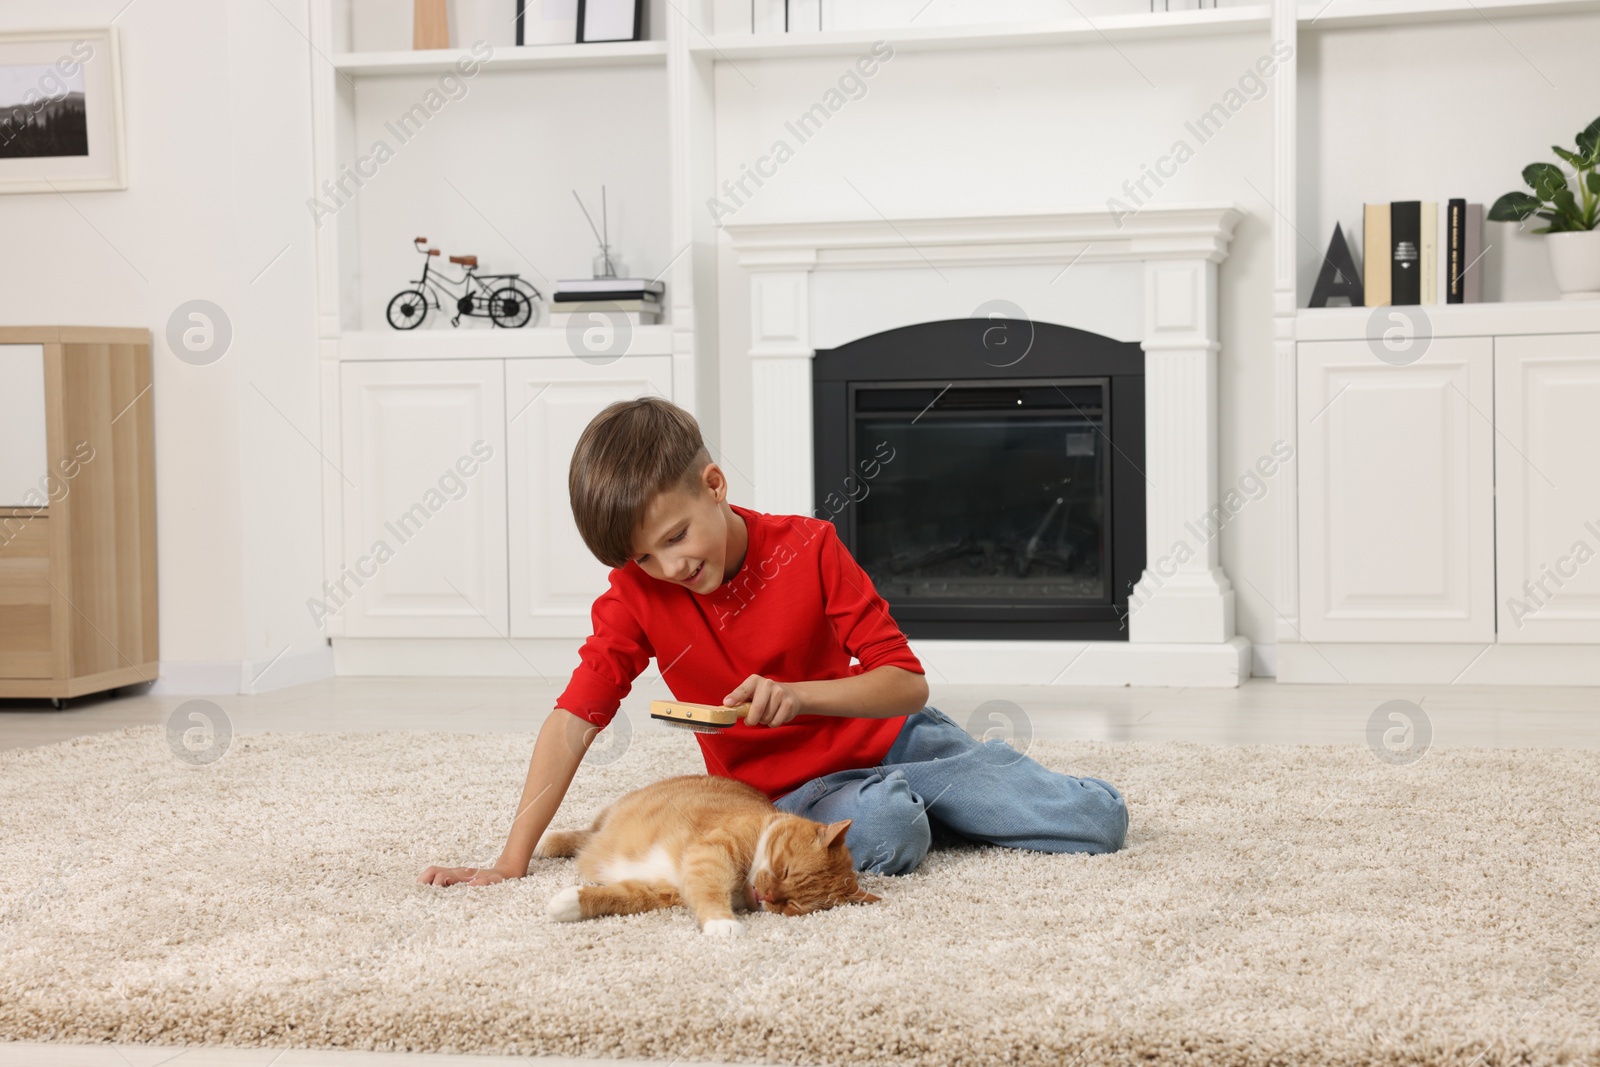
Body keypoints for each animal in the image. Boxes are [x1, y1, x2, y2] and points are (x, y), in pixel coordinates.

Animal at [544, 777, 883, 934]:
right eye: (784, 870)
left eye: (794, 905)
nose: (768, 897)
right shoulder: (713, 853)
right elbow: (709, 890)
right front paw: (722, 922)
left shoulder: (661, 892)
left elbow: (620, 897)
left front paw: (570, 903)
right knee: (581, 834)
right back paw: (545, 842)